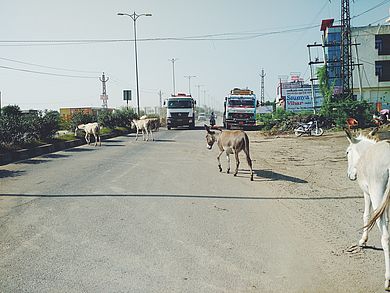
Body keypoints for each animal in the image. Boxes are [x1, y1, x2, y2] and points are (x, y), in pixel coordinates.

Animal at [344, 129, 390, 288]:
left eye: (347, 152)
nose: (350, 175)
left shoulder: (367, 193)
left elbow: (365, 215)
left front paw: (363, 240)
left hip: (377, 195)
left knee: (385, 237)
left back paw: (387, 279)